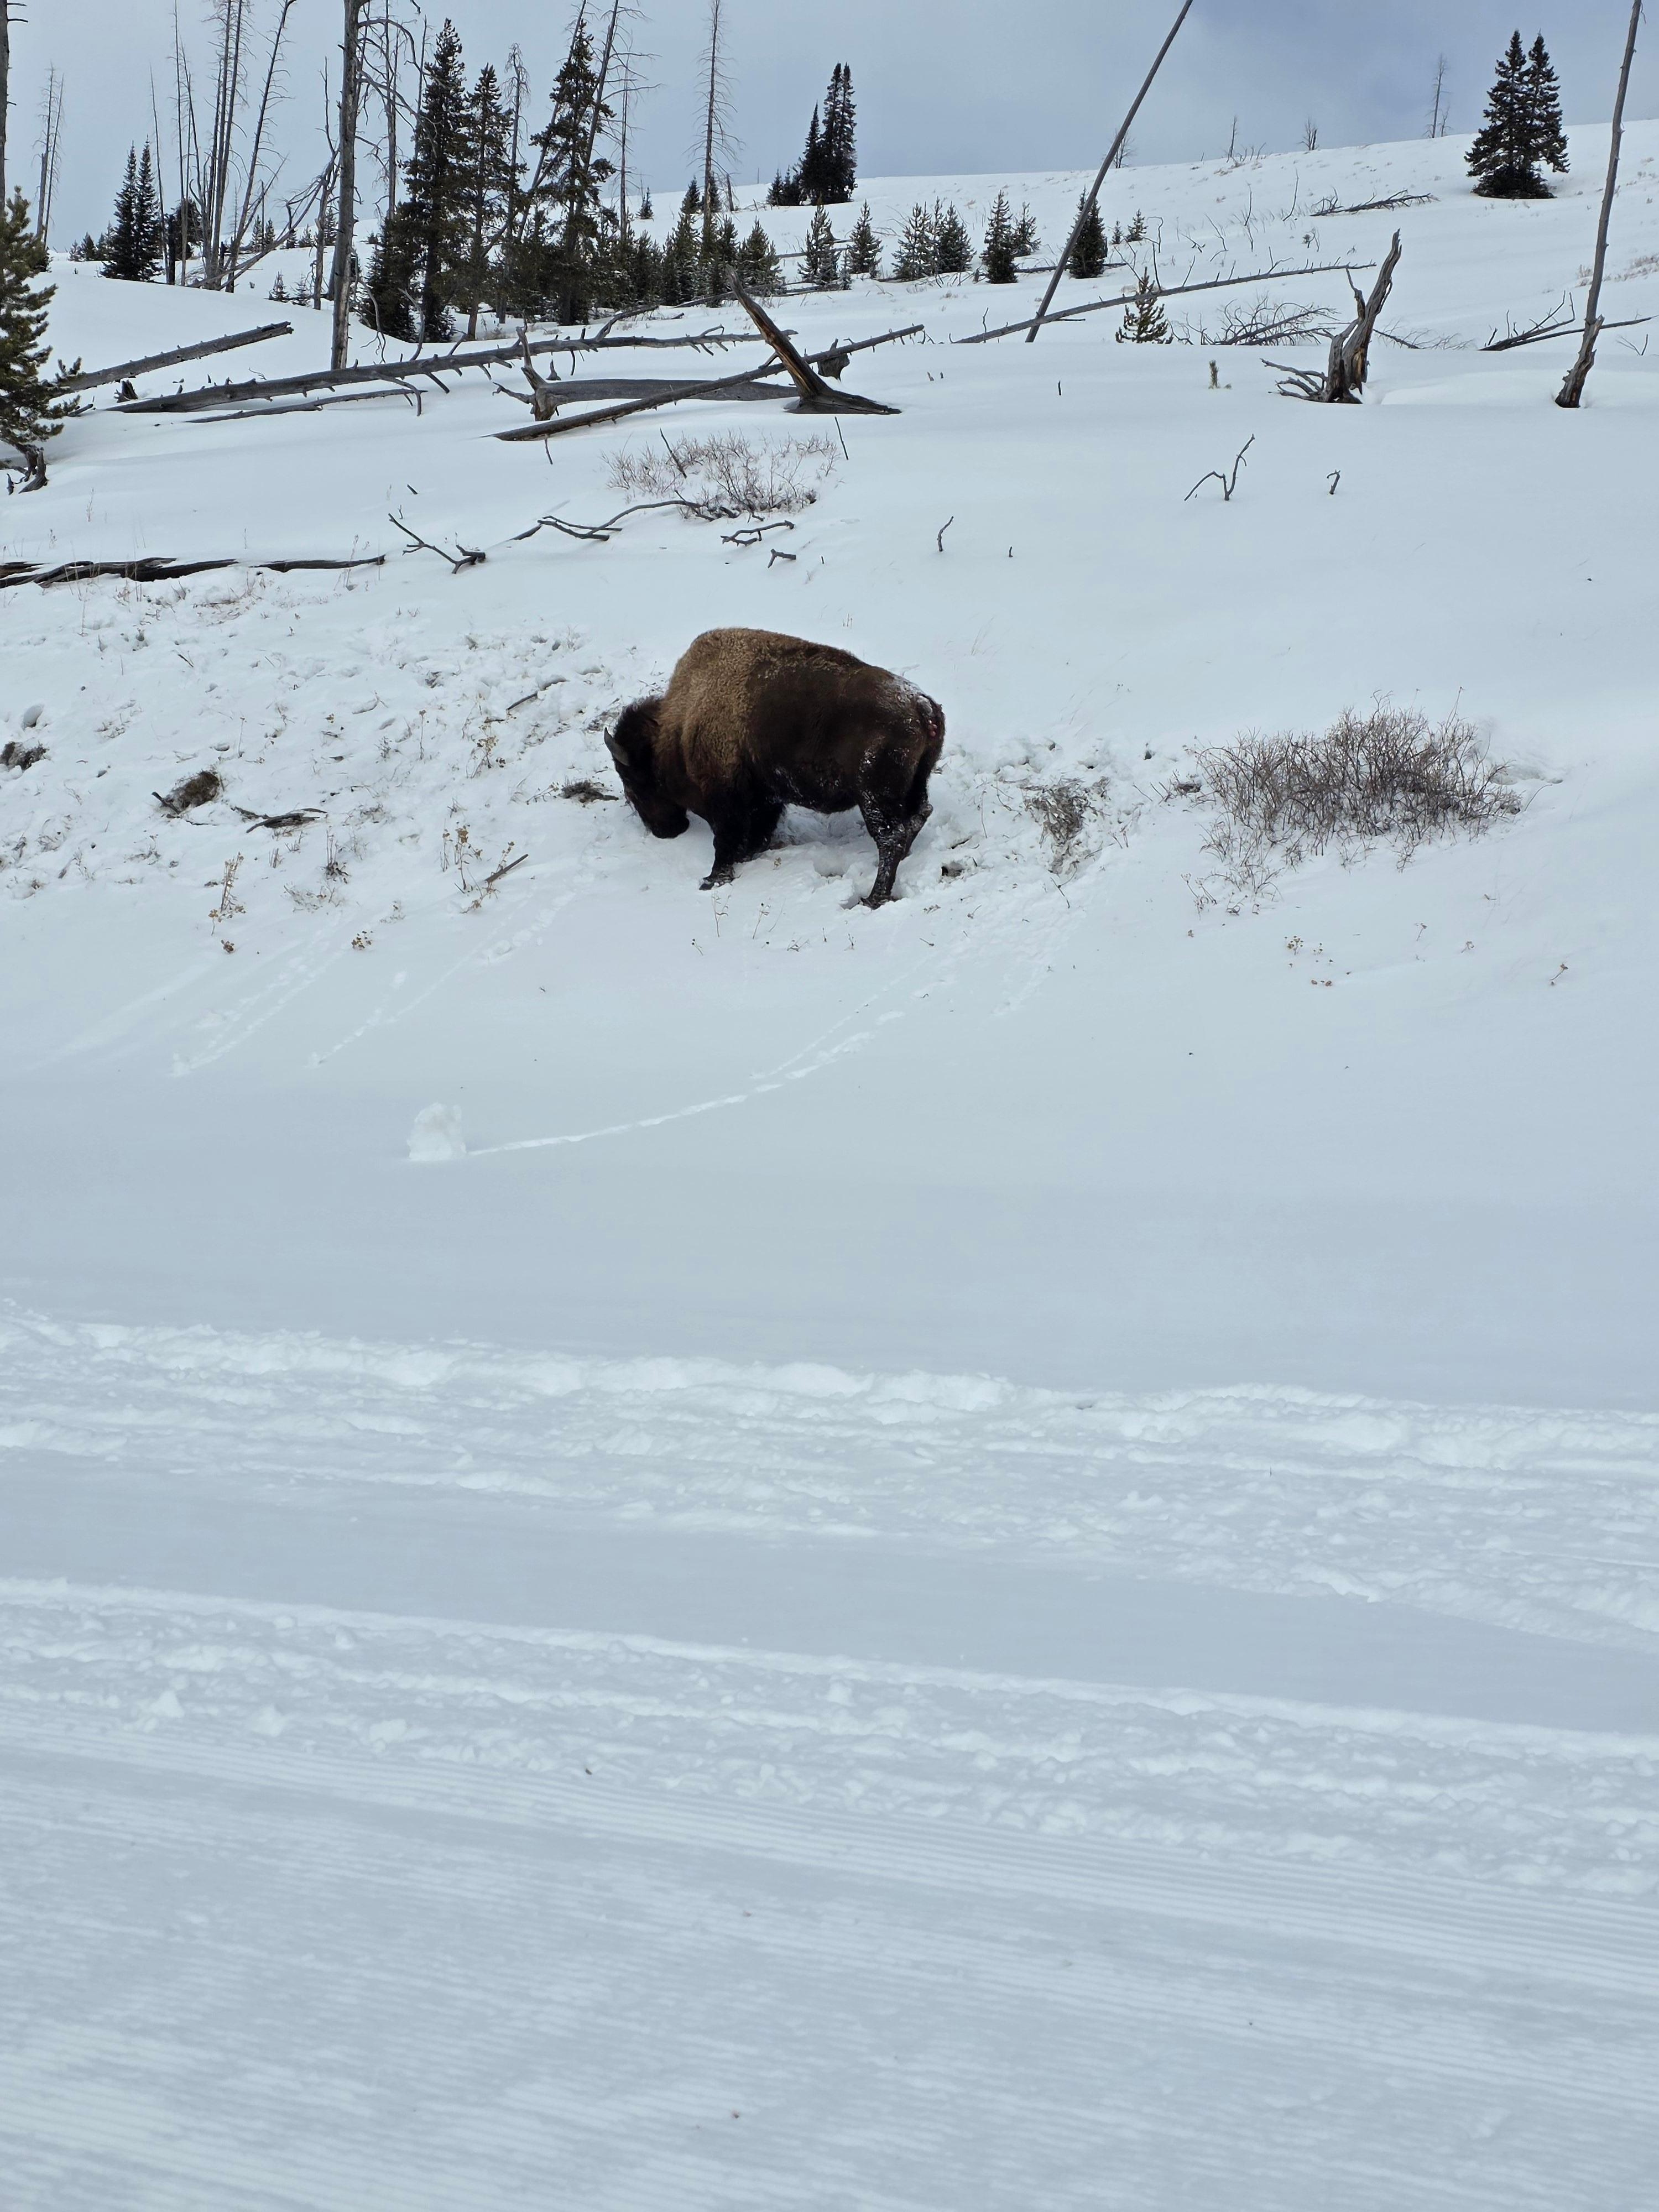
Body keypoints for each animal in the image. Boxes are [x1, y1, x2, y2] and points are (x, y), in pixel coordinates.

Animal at [606, 627, 945, 907]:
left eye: (634, 783)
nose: (665, 831)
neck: (682, 723)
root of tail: (921, 706)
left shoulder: (727, 799)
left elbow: (725, 840)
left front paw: (712, 879)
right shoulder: (765, 797)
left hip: (875, 797)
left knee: (891, 837)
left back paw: (873, 899)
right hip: (913, 786)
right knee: (918, 816)